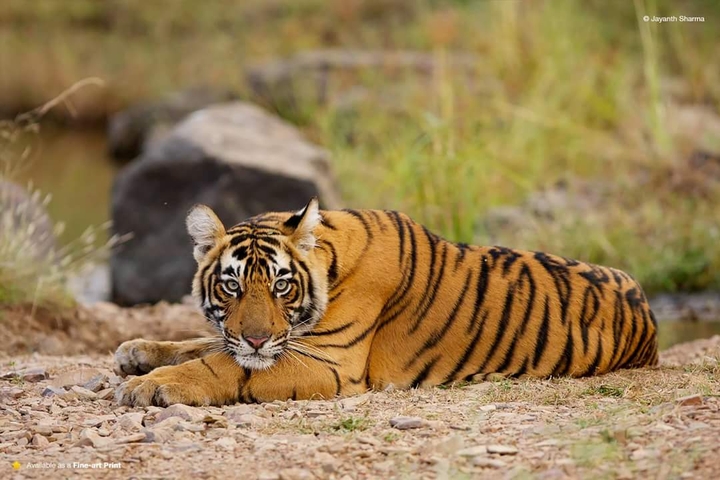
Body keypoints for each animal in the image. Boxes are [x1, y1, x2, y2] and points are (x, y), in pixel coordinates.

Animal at [115, 198, 658, 407]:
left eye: (281, 286)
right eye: (232, 286)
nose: (256, 338)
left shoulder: (330, 363)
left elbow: (223, 365)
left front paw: (149, 385)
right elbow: (204, 344)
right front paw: (138, 353)